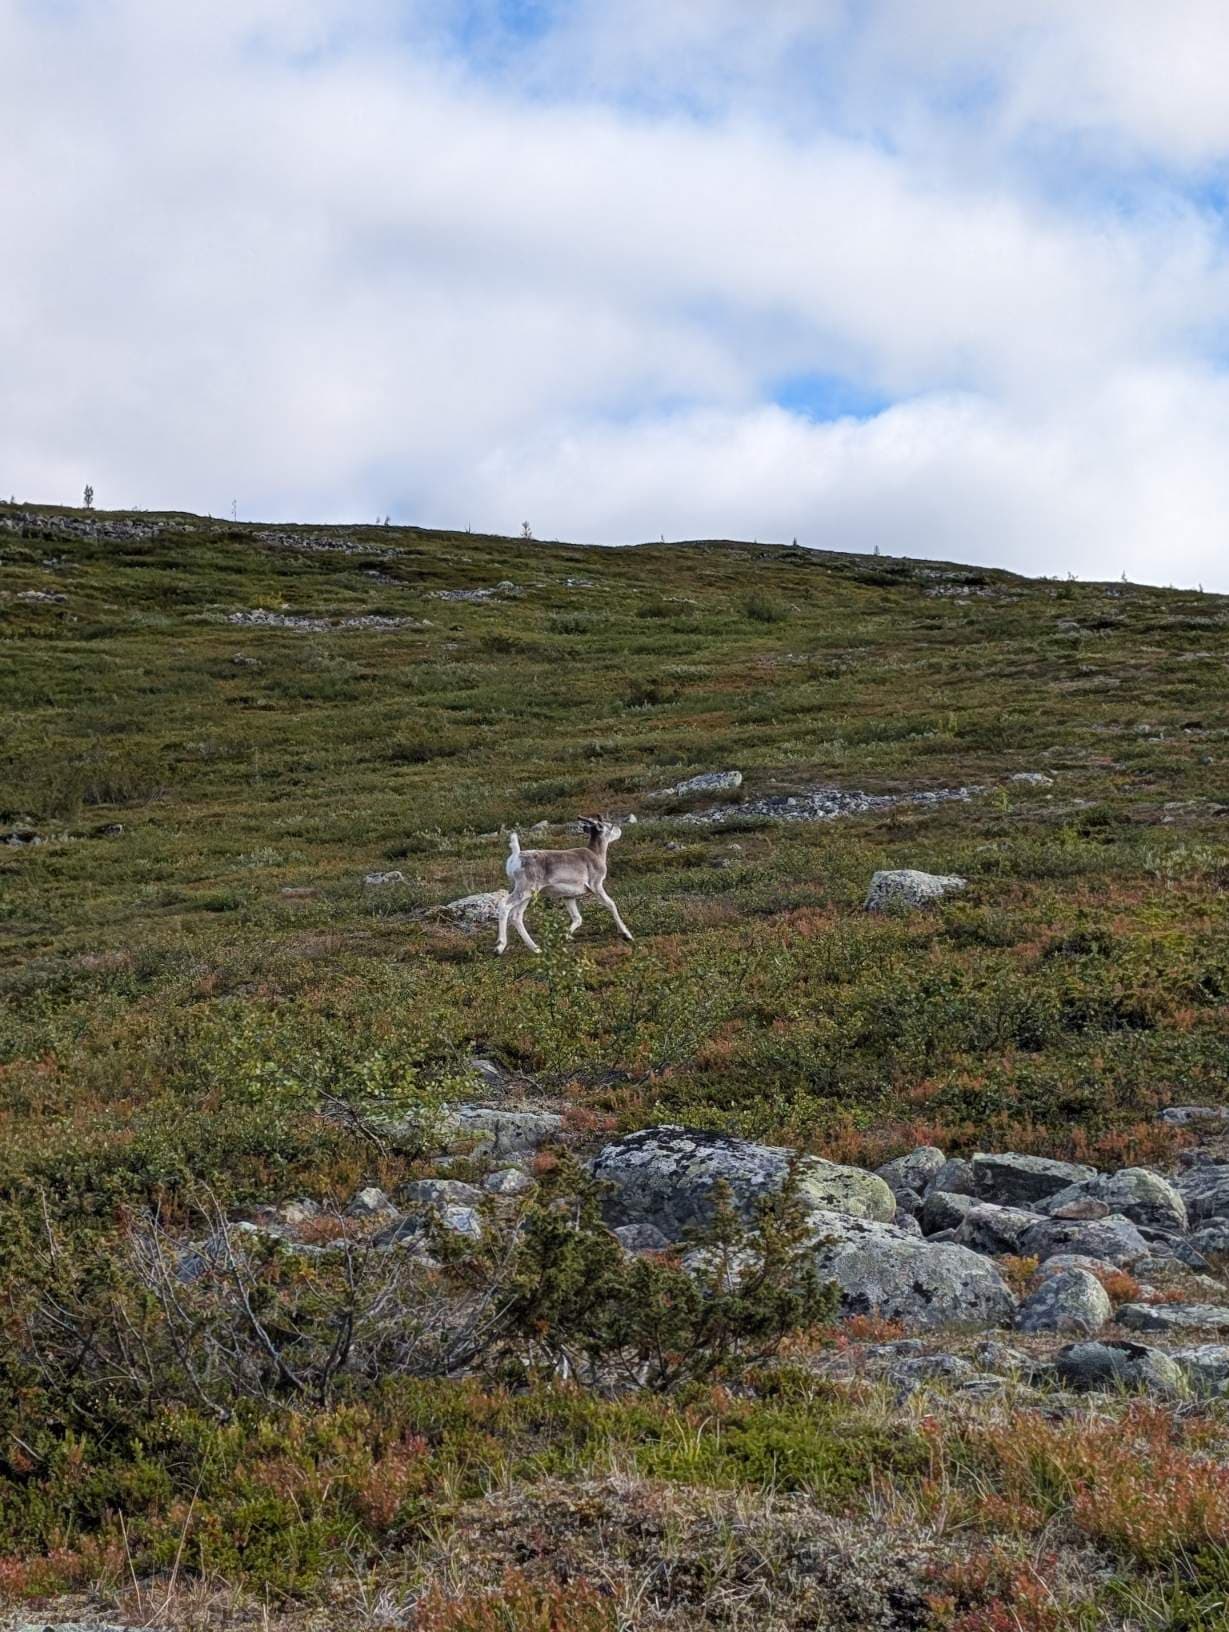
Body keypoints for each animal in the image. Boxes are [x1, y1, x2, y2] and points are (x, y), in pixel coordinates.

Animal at [496, 817, 633, 954]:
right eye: (609, 825)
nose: (619, 830)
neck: (596, 854)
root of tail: (516, 856)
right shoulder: (596, 886)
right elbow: (611, 904)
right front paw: (627, 934)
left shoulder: (568, 896)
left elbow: (577, 918)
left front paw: (564, 936)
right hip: (524, 891)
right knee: (504, 905)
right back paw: (499, 947)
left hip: (527, 895)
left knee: (516, 916)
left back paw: (536, 948)